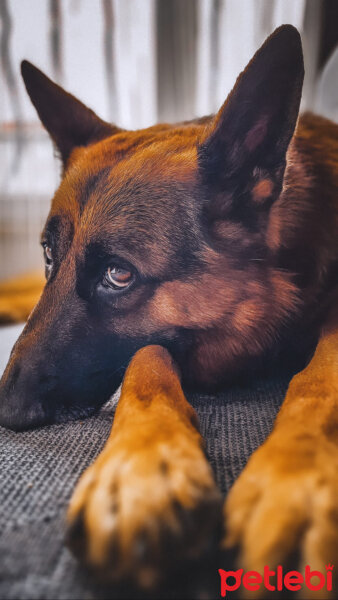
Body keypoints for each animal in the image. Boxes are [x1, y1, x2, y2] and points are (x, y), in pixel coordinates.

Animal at [0, 27, 338, 592]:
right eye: (48, 254)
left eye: (118, 275)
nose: (4, 411)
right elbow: (145, 358)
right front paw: (142, 469)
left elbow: (320, 377)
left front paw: (296, 479)